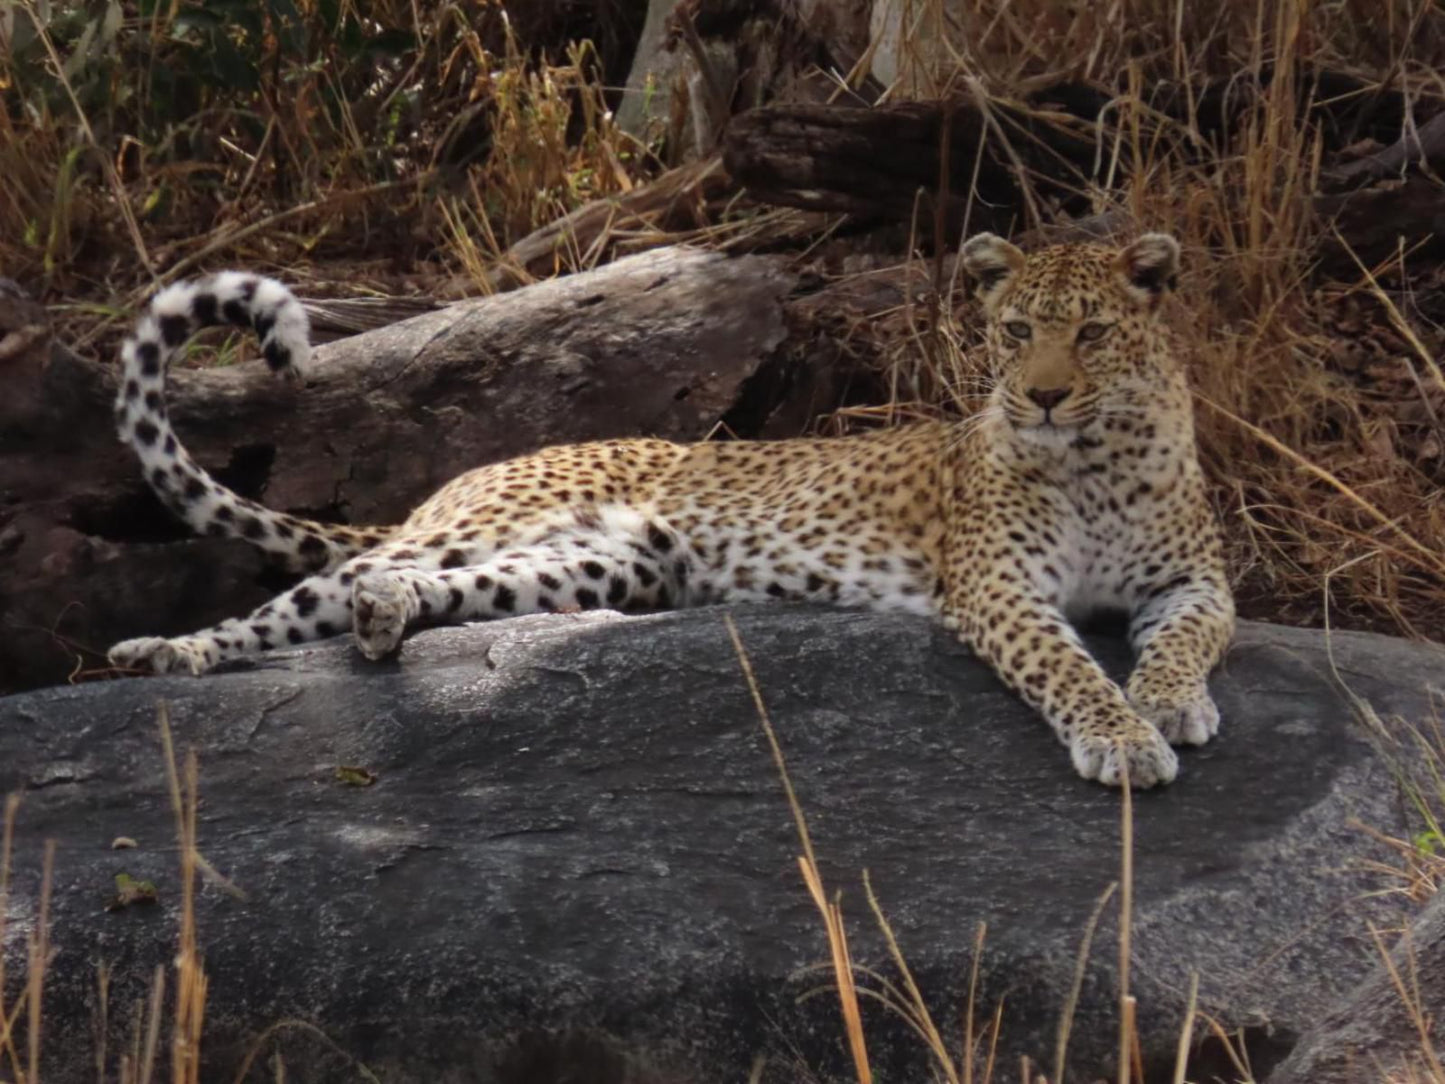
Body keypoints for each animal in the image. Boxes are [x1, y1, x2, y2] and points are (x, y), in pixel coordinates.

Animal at [106, 235, 1236, 792]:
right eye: (1013, 330)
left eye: (1090, 332)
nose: (1040, 395)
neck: (1094, 458)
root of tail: (465, 473)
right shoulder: (1000, 586)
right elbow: (1065, 668)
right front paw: (1124, 740)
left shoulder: (1195, 579)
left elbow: (1190, 639)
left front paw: (1164, 700)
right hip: (483, 527)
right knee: (296, 600)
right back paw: (165, 655)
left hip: (606, 568)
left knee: (414, 591)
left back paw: (388, 616)